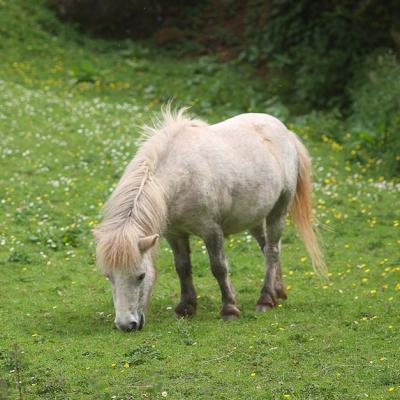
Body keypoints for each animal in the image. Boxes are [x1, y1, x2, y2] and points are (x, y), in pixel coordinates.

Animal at [94, 108, 324, 332]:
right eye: (108, 276)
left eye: (141, 275)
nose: (126, 325)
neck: (181, 177)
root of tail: (286, 132)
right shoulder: (174, 234)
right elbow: (182, 267)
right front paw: (185, 307)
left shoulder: (211, 230)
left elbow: (219, 267)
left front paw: (229, 309)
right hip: (255, 218)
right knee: (268, 248)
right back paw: (278, 291)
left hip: (278, 210)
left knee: (272, 251)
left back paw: (266, 299)